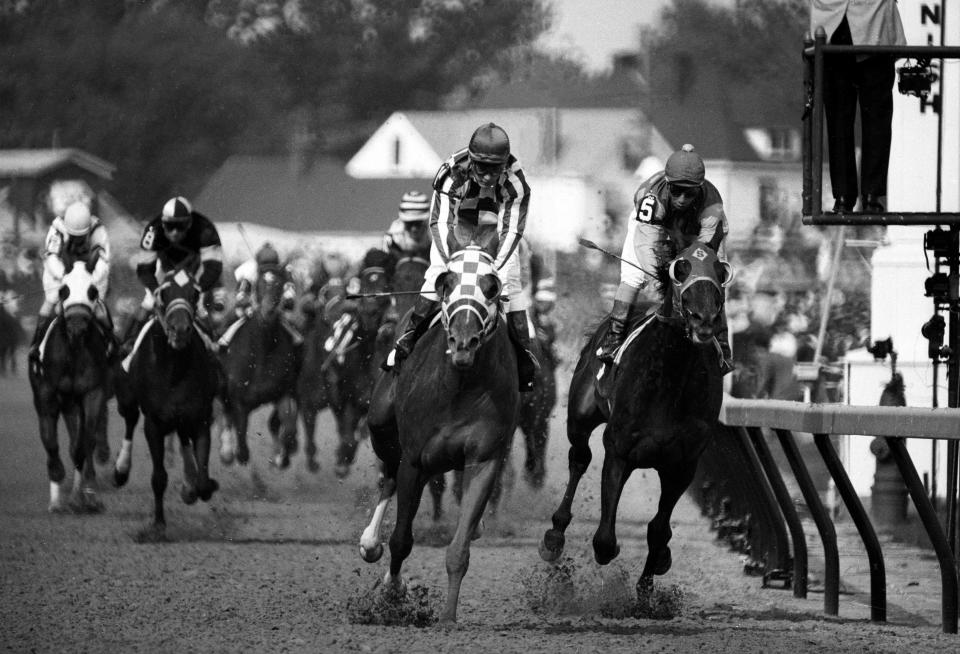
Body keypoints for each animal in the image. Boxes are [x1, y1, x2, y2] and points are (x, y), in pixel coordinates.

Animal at [29, 258, 110, 516]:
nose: (76, 326)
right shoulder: (47, 394)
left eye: (92, 291)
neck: (73, 354)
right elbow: (50, 441)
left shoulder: (92, 393)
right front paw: (56, 493)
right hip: (67, 404)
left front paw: (89, 496)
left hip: (75, 404)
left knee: (80, 445)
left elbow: (85, 442)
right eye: (63, 290)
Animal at [360, 242, 520, 624]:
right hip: (382, 424)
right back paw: (370, 543)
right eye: (447, 284)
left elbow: (459, 548)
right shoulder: (415, 460)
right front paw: (392, 594)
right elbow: (401, 540)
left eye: (491, 287)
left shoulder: (484, 458)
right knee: (387, 476)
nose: (463, 342)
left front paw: (448, 616)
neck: (460, 386)